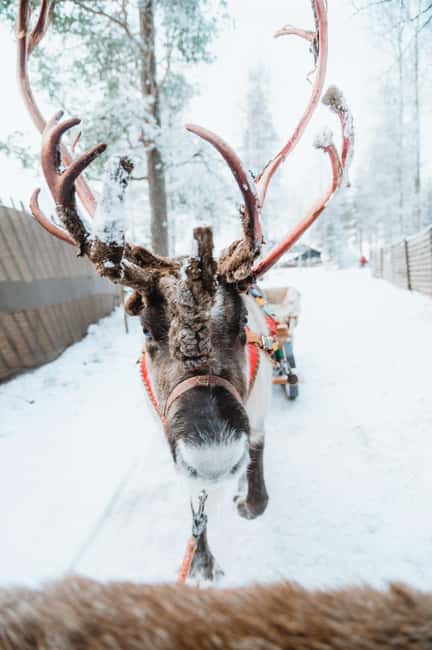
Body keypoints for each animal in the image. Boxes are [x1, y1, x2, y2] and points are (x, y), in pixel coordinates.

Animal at [16, 0, 353, 581]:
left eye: (241, 328)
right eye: (147, 333)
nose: (214, 458)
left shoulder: (257, 413)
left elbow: (257, 494)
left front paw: (242, 498)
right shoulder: (166, 437)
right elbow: (193, 511)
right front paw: (203, 559)